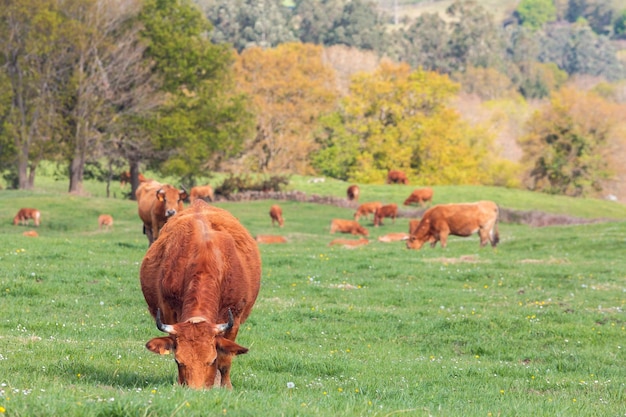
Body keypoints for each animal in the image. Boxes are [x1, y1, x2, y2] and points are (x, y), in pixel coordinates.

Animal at [140, 200, 260, 388]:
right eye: (178, 361)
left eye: (211, 360)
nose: (195, 390)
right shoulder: (168, 311)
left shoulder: (235, 317)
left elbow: (226, 359)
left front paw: (226, 386)